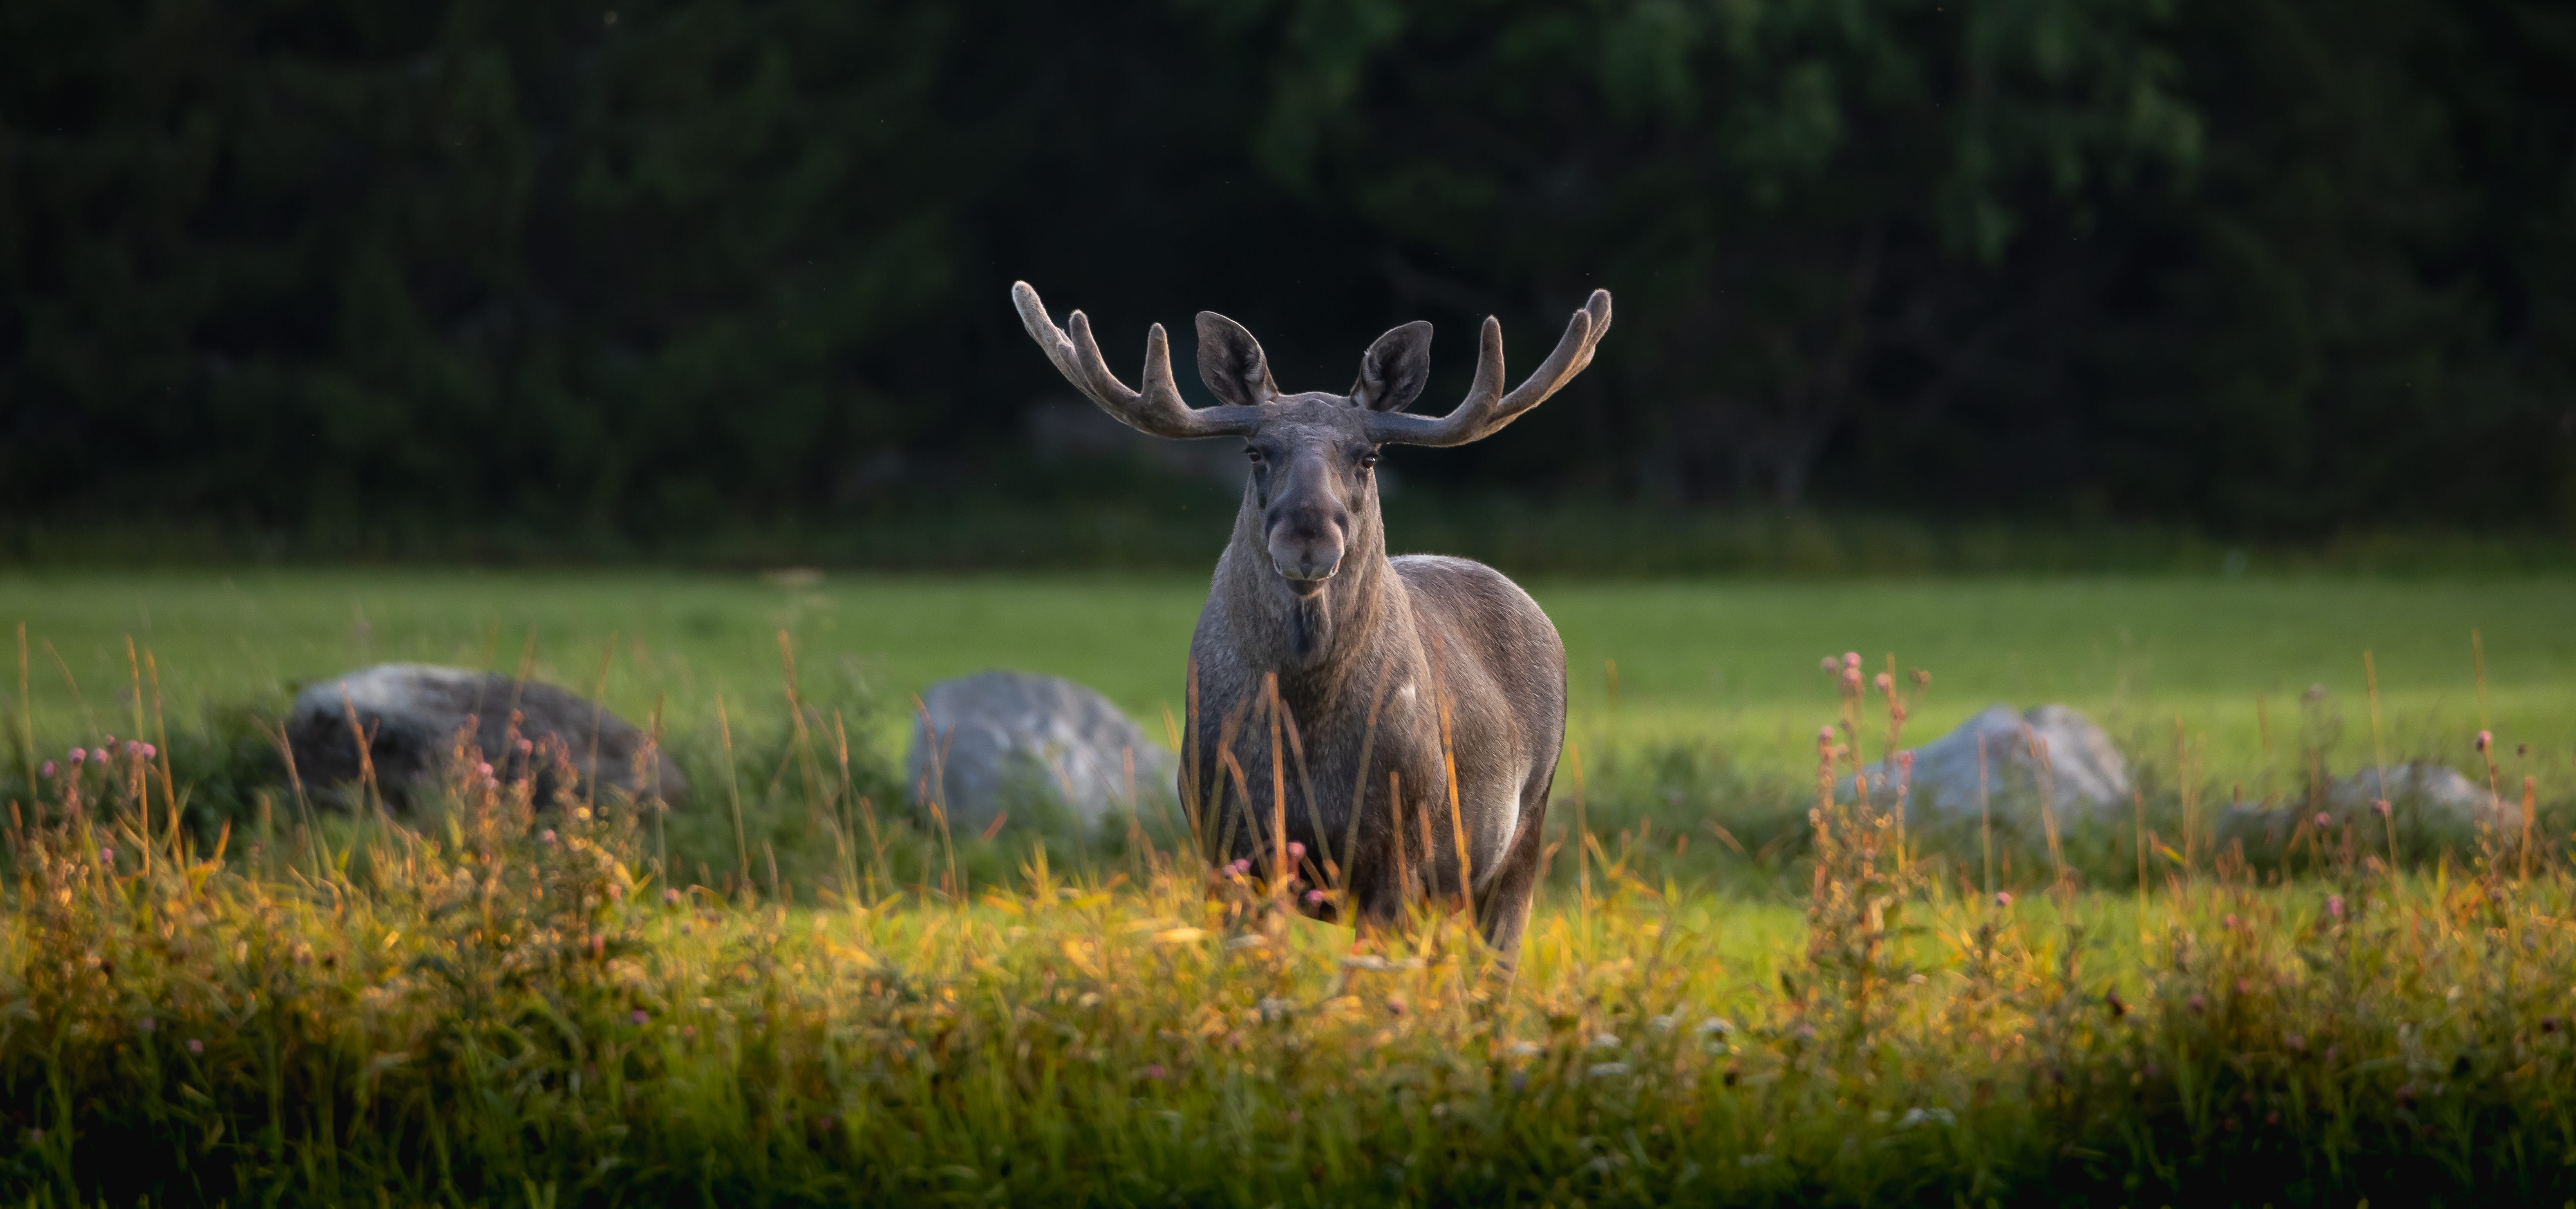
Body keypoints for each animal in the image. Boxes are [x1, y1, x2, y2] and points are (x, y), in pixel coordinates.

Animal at [1010, 280, 1611, 967]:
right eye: (1255, 450)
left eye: (1369, 456)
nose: (1307, 536)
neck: (1304, 726)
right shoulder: (1227, 845)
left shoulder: (1400, 852)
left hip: (1522, 829)